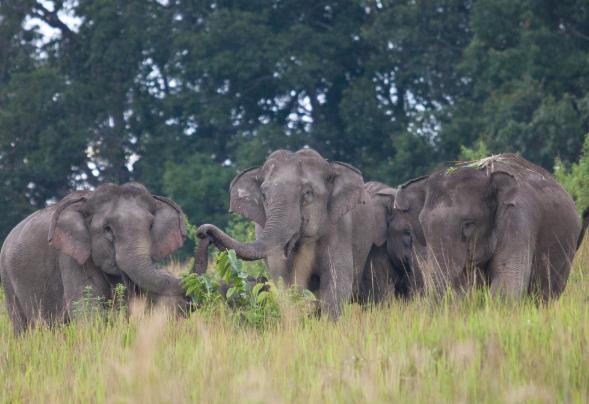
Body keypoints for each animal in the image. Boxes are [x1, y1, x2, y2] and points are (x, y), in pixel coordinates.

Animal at [0, 183, 187, 332]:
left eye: (150, 226)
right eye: (107, 229)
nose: (204, 231)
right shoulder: (71, 257)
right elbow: (86, 310)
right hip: (7, 280)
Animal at [195, 149, 398, 318]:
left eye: (307, 193)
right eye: (264, 195)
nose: (203, 233)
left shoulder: (341, 229)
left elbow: (336, 283)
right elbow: (287, 282)